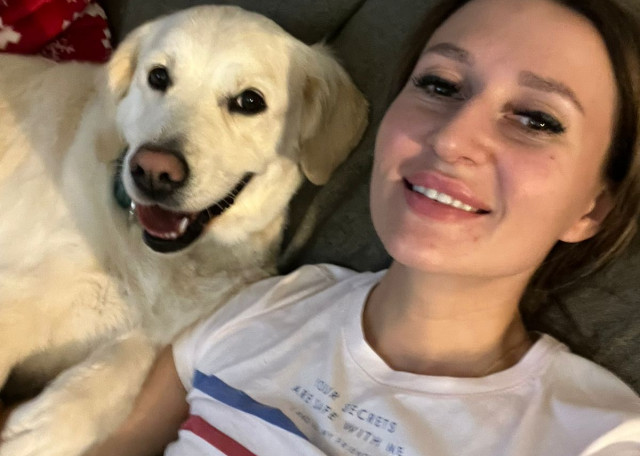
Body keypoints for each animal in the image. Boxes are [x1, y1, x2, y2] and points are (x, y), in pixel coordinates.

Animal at [0, 5, 368, 456]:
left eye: (249, 101)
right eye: (158, 77)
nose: (153, 172)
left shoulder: (159, 328)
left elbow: (132, 357)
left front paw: (52, 424)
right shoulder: (19, 296)